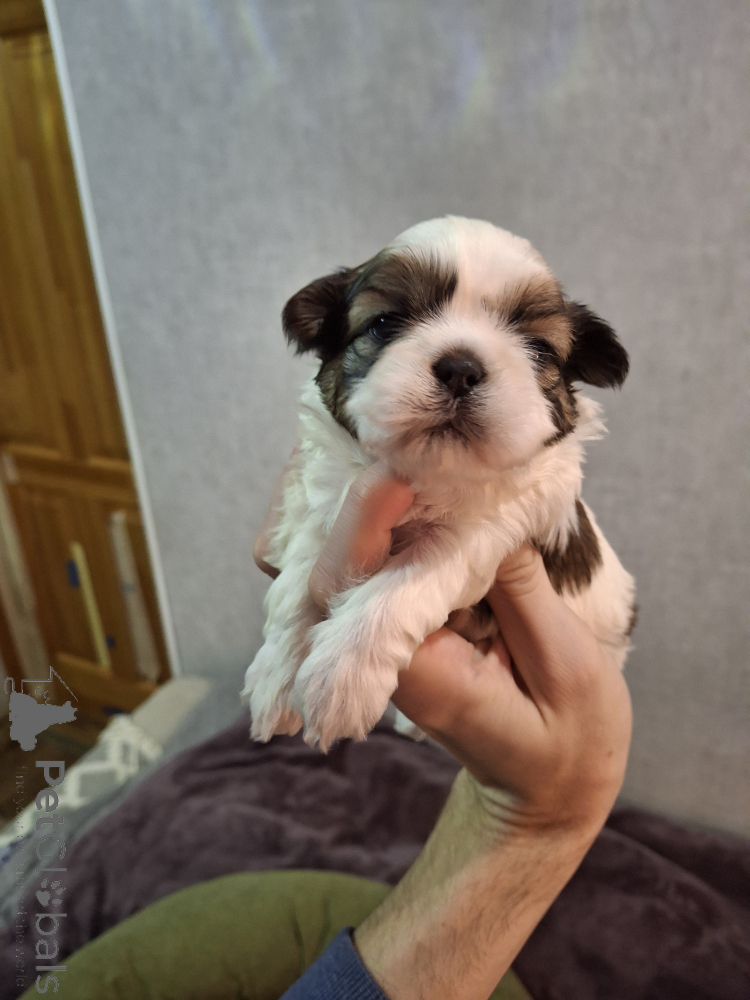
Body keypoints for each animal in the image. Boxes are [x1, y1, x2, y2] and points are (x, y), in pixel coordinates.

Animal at [243, 216, 636, 751]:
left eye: (537, 349)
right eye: (385, 324)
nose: (461, 368)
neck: (431, 473)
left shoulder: (493, 528)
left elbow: (411, 576)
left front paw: (341, 675)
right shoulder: (320, 501)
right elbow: (299, 576)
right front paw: (276, 677)